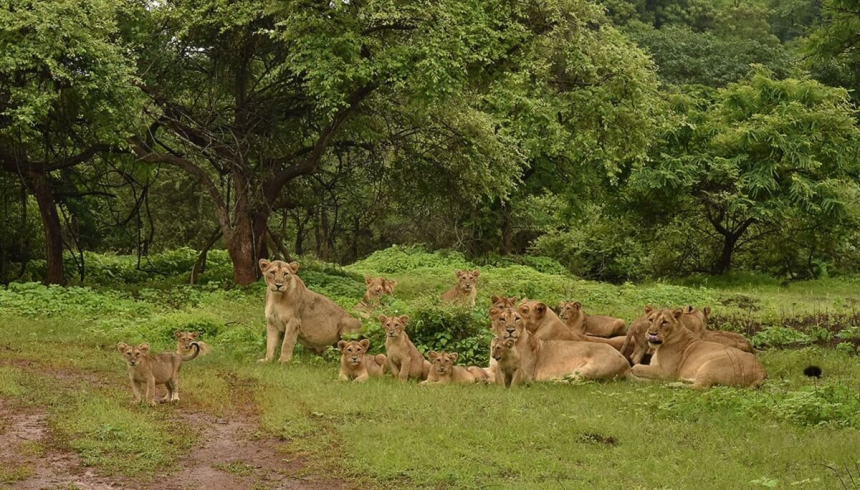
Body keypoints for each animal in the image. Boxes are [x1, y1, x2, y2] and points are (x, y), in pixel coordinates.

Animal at [629, 308, 767, 389]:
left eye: (664, 322)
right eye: (650, 320)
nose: (652, 333)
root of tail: (762, 371)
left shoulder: (666, 371)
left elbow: (636, 367)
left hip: (711, 365)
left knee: (701, 387)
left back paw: (670, 385)